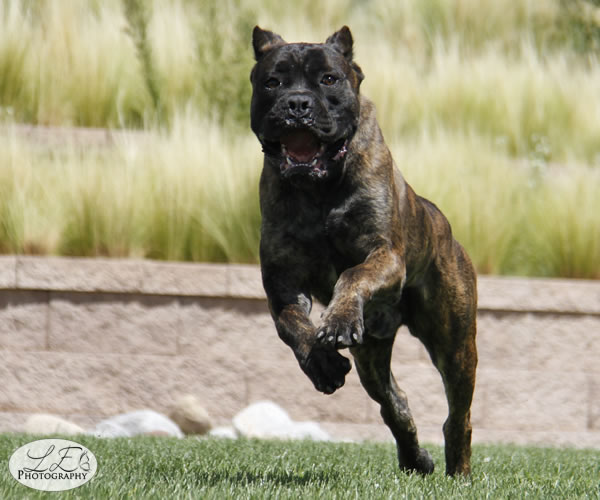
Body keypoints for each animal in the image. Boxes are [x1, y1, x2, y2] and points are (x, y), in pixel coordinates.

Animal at [248, 26, 478, 476]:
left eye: (329, 79)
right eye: (272, 82)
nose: (297, 104)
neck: (318, 190)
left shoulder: (383, 257)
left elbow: (351, 275)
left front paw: (337, 321)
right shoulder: (282, 283)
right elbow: (291, 326)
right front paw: (321, 362)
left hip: (457, 346)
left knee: (458, 416)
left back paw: (457, 470)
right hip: (372, 355)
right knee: (394, 403)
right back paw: (415, 459)